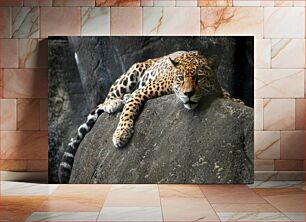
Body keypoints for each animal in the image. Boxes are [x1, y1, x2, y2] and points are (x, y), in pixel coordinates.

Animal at [58, 51, 238, 183]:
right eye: (180, 78)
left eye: (199, 78)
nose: (188, 94)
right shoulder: (144, 90)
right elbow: (129, 108)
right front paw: (121, 134)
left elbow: (227, 95)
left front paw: (235, 100)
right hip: (132, 73)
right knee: (106, 99)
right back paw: (113, 103)